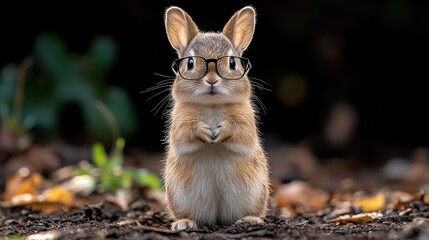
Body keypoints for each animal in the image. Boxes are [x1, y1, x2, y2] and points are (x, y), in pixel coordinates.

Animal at [162, 5, 270, 231]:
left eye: (232, 62)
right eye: (190, 63)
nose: (211, 81)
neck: (212, 104)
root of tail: (218, 219)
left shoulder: (246, 122)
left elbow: (240, 133)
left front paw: (220, 132)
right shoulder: (179, 123)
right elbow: (185, 134)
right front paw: (205, 132)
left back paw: (249, 220)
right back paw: (185, 223)